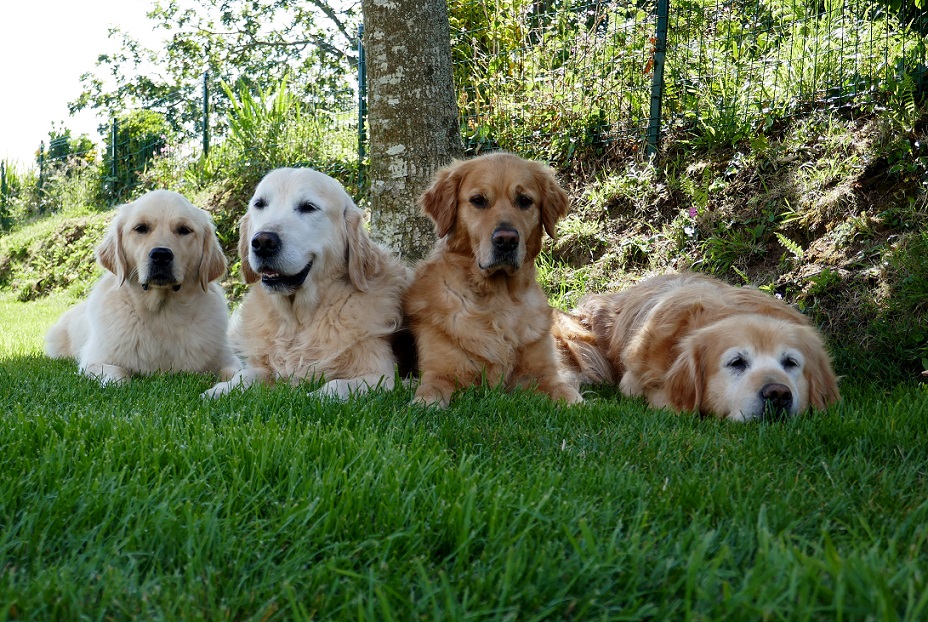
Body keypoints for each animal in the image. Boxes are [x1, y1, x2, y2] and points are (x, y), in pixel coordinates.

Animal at [45, 190, 237, 386]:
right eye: (141, 228)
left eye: (184, 229)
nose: (161, 255)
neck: (162, 314)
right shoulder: (94, 362)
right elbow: (119, 375)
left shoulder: (229, 359)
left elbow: (236, 375)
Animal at [205, 167, 412, 400]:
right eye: (259, 204)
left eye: (308, 207)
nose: (262, 242)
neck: (297, 324)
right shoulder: (263, 367)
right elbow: (246, 375)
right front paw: (219, 390)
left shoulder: (382, 378)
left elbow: (335, 386)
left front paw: (312, 396)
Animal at [404, 152, 580, 410]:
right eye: (478, 200)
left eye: (524, 200)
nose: (506, 240)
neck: (498, 297)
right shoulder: (440, 373)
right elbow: (429, 394)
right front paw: (424, 404)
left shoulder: (543, 374)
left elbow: (568, 394)